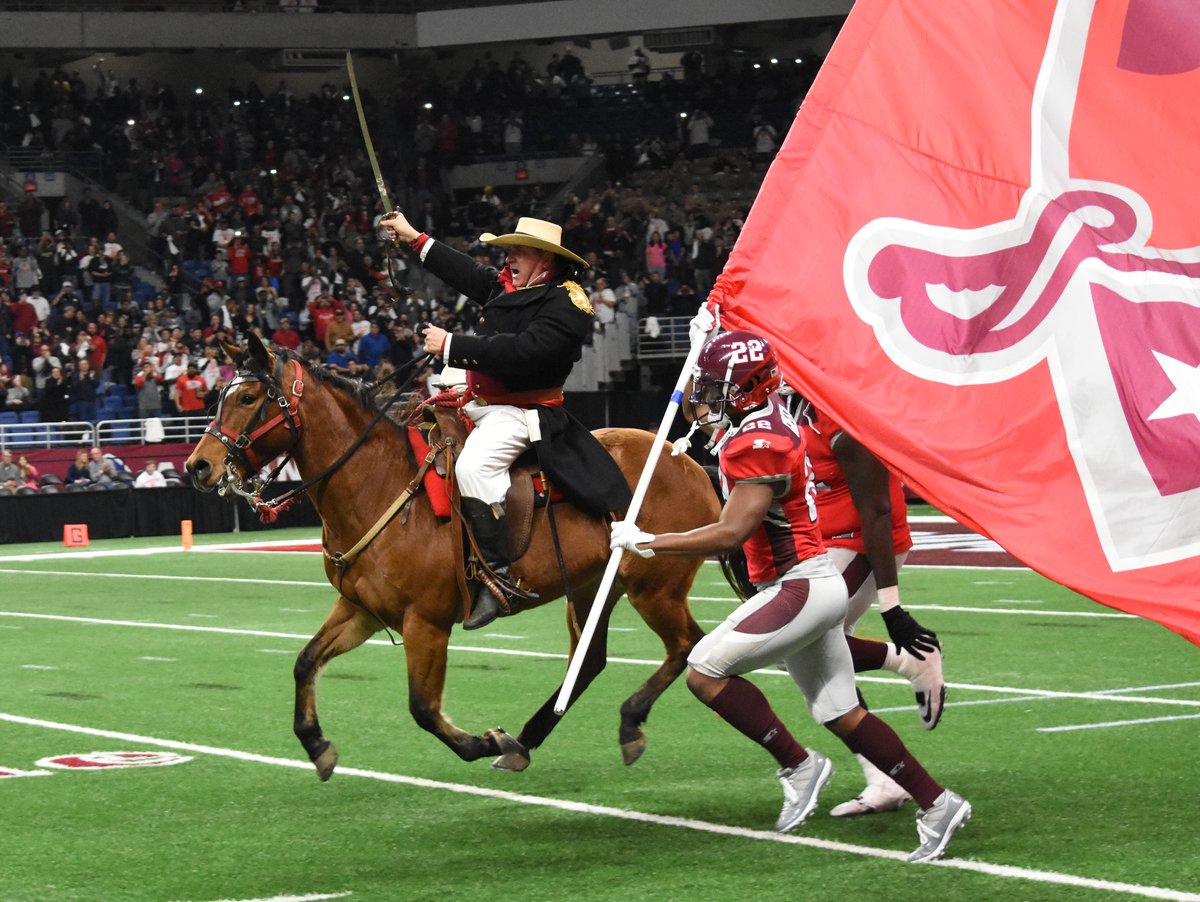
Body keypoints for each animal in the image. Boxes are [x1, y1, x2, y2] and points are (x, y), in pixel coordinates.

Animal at [182, 335, 715, 777]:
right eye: (222, 396)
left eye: (248, 398)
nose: (198, 466)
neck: (378, 484)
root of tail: (691, 464)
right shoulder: (361, 611)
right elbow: (305, 661)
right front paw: (316, 744)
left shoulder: (426, 623)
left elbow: (423, 708)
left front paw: (486, 742)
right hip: (589, 589)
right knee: (589, 661)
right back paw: (529, 739)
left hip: (654, 587)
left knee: (685, 644)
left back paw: (624, 721)